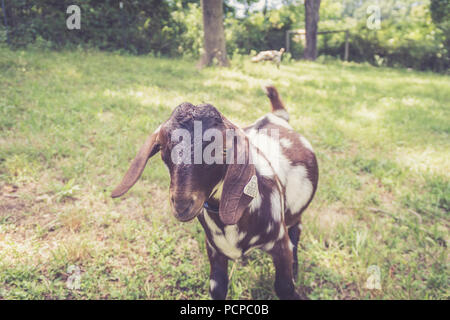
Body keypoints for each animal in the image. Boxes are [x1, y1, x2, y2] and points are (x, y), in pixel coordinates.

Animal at [110, 85, 318, 300]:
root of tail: (276, 115)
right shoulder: (214, 249)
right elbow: (217, 288)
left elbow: (284, 286)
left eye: (222, 150)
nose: (182, 204)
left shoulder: (280, 241)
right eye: (163, 149)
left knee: (296, 229)